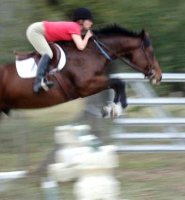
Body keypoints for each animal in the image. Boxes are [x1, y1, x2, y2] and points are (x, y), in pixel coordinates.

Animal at [0, 24, 162, 118]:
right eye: (151, 52)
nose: (159, 76)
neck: (92, 52)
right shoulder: (87, 86)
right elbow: (119, 82)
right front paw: (116, 109)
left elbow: (117, 84)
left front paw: (109, 109)